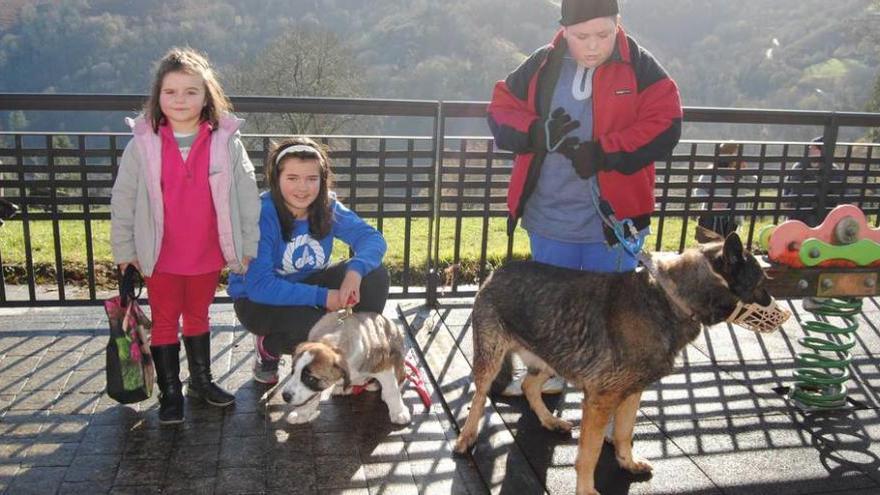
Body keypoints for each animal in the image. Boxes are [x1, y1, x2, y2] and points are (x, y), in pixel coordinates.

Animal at [278, 312, 412, 424]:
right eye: (293, 371)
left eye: (310, 379)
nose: (285, 396)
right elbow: (312, 396)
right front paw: (302, 412)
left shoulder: (384, 364)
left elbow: (392, 390)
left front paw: (399, 412)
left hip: (398, 359)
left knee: (400, 378)